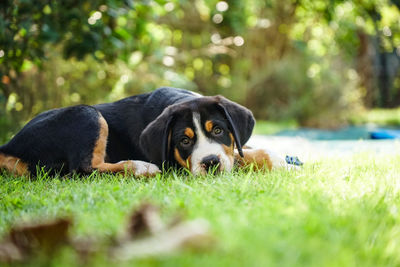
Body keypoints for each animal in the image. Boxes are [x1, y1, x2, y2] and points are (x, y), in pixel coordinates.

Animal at [0, 87, 290, 177]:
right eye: (184, 140)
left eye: (218, 130)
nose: (210, 163)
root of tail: (10, 145)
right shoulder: (174, 163)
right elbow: (241, 156)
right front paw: (276, 159)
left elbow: (239, 150)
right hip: (87, 114)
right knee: (83, 169)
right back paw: (141, 167)